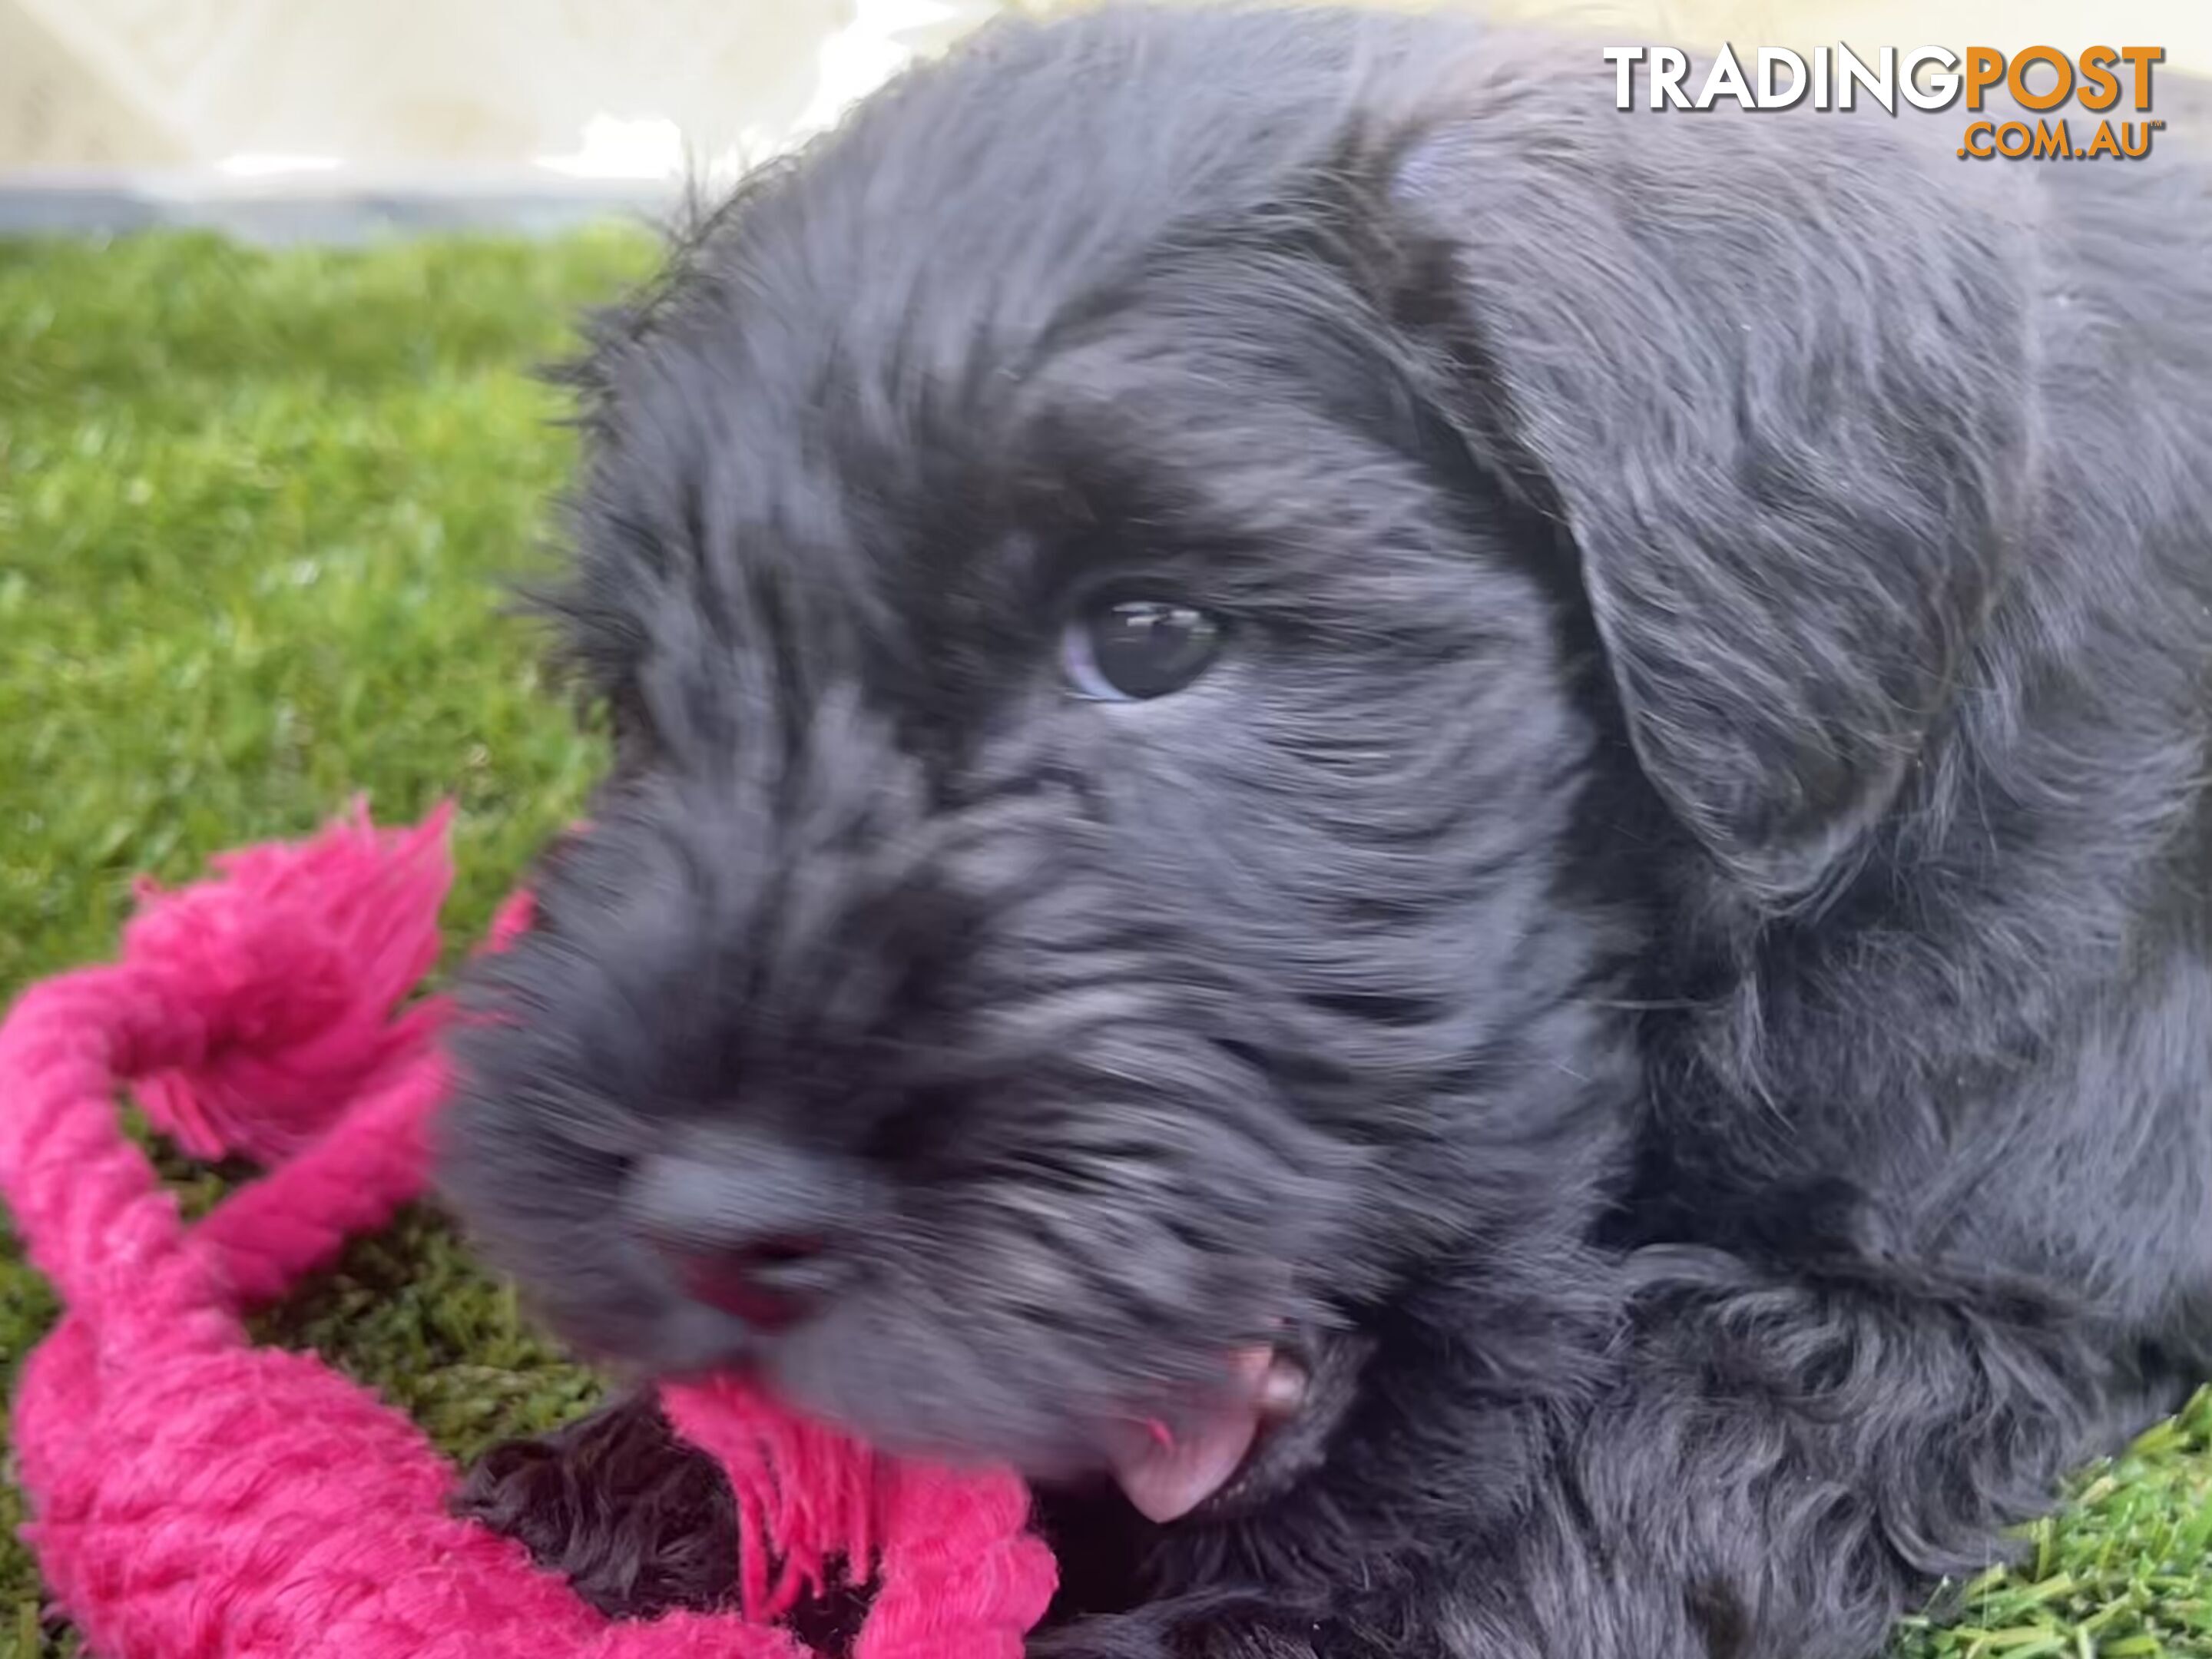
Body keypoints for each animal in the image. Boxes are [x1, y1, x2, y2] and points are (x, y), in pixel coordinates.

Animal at [440, 6, 2212, 1654]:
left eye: (1152, 634)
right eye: (648, 697)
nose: (705, 1222)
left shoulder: (1983, 1291)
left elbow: (1619, 1455)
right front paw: (646, 1478)